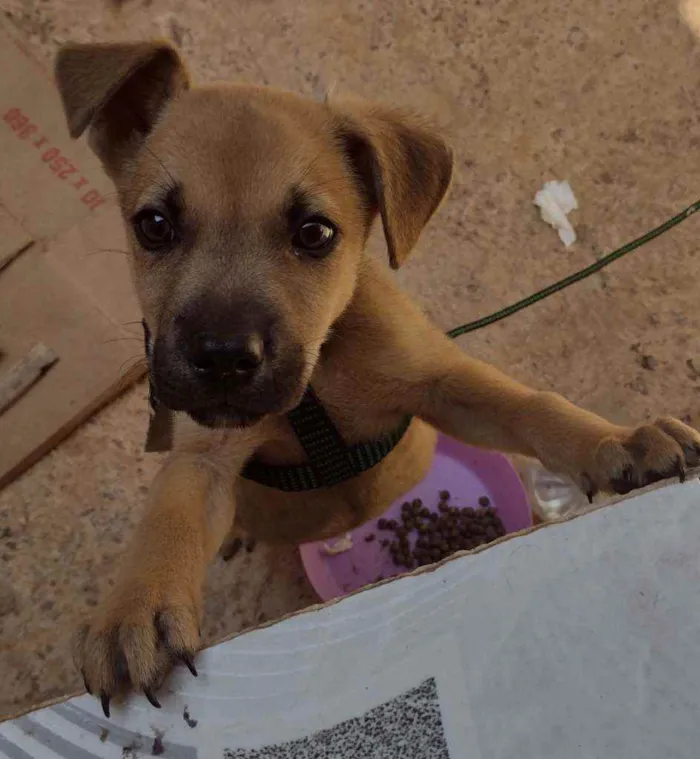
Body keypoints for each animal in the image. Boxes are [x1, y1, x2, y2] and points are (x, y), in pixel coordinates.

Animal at [57, 41, 700, 712]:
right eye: (154, 225)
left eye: (314, 233)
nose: (224, 359)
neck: (318, 382)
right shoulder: (204, 456)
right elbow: (169, 516)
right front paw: (134, 610)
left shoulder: (445, 384)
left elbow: (533, 406)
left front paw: (616, 441)